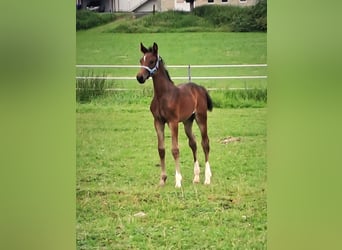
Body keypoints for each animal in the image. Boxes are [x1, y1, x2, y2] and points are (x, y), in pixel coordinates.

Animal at [136, 42, 211, 188]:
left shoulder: (173, 122)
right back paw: (196, 177)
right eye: (141, 60)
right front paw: (162, 179)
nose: (139, 77)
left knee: (205, 143)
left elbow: (175, 149)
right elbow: (161, 149)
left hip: (201, 117)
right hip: (188, 121)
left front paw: (178, 181)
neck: (163, 95)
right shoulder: (158, 122)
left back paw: (207, 178)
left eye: (152, 61)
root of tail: (199, 88)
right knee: (193, 143)